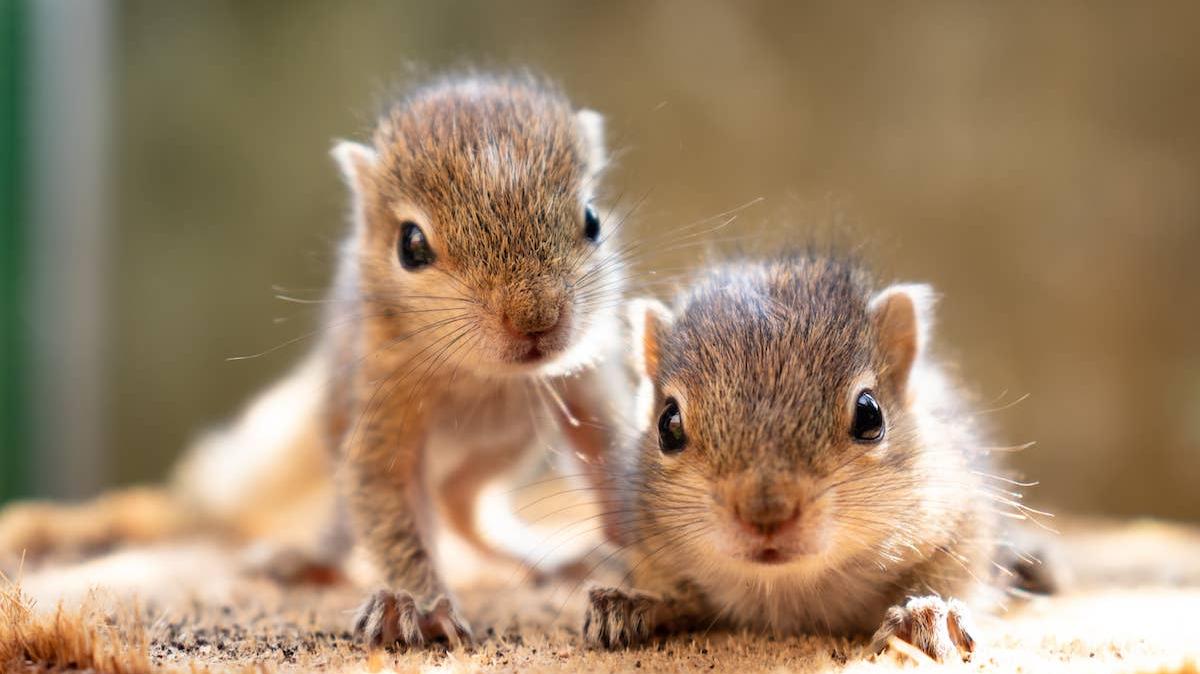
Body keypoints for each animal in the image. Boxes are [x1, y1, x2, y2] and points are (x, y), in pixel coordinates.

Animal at [0, 74, 634, 648]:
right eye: (411, 245)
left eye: (592, 220)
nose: (536, 320)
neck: (486, 376)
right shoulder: (382, 402)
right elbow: (388, 509)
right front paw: (420, 605)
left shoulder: (587, 381)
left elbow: (613, 460)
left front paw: (635, 573)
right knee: (383, 520)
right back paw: (320, 563)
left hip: (499, 450)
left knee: (463, 506)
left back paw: (549, 559)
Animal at [583, 253, 1054, 661]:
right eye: (668, 424)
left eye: (870, 414)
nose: (766, 514)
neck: (784, 587)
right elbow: (676, 595)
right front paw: (629, 604)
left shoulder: (962, 521)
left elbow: (951, 577)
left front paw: (926, 615)